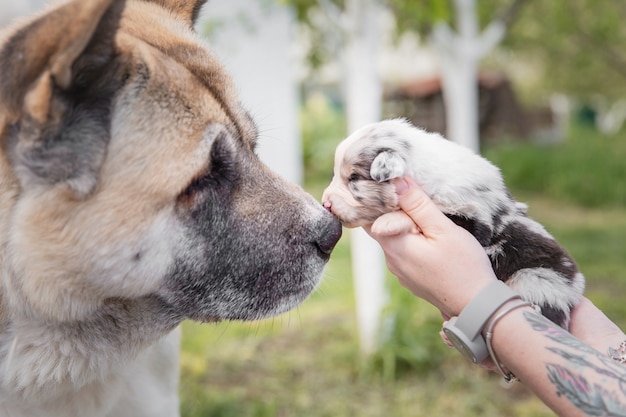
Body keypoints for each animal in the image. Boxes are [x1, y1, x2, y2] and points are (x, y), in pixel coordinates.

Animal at [322, 118, 584, 328]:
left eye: (354, 178)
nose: (325, 203)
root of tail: (577, 285)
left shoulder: (474, 222)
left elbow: (420, 215)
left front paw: (387, 222)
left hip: (535, 278)